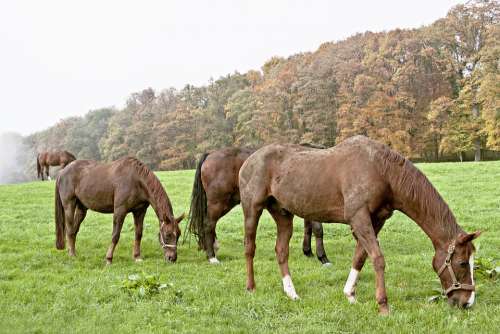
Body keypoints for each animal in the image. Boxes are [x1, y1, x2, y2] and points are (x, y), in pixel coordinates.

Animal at [55, 157, 184, 264]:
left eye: (178, 234)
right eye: (167, 235)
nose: (172, 258)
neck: (136, 180)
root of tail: (62, 172)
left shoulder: (140, 211)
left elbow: (138, 234)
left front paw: (137, 256)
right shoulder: (120, 211)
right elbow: (115, 235)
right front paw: (109, 259)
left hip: (82, 208)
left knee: (74, 230)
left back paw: (72, 252)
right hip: (69, 205)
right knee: (70, 230)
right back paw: (72, 255)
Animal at [186, 147, 330, 264]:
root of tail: (211, 153)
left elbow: (308, 228)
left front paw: (308, 251)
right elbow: (318, 229)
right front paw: (323, 257)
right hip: (219, 203)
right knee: (208, 224)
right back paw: (212, 257)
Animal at [240, 135, 482, 314]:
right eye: (462, 263)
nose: (467, 302)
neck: (382, 171)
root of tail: (249, 160)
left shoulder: (375, 220)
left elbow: (360, 257)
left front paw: (350, 295)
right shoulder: (359, 217)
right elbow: (377, 259)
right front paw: (383, 305)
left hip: (283, 215)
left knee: (281, 251)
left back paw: (291, 293)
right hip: (252, 210)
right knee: (250, 248)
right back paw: (251, 287)